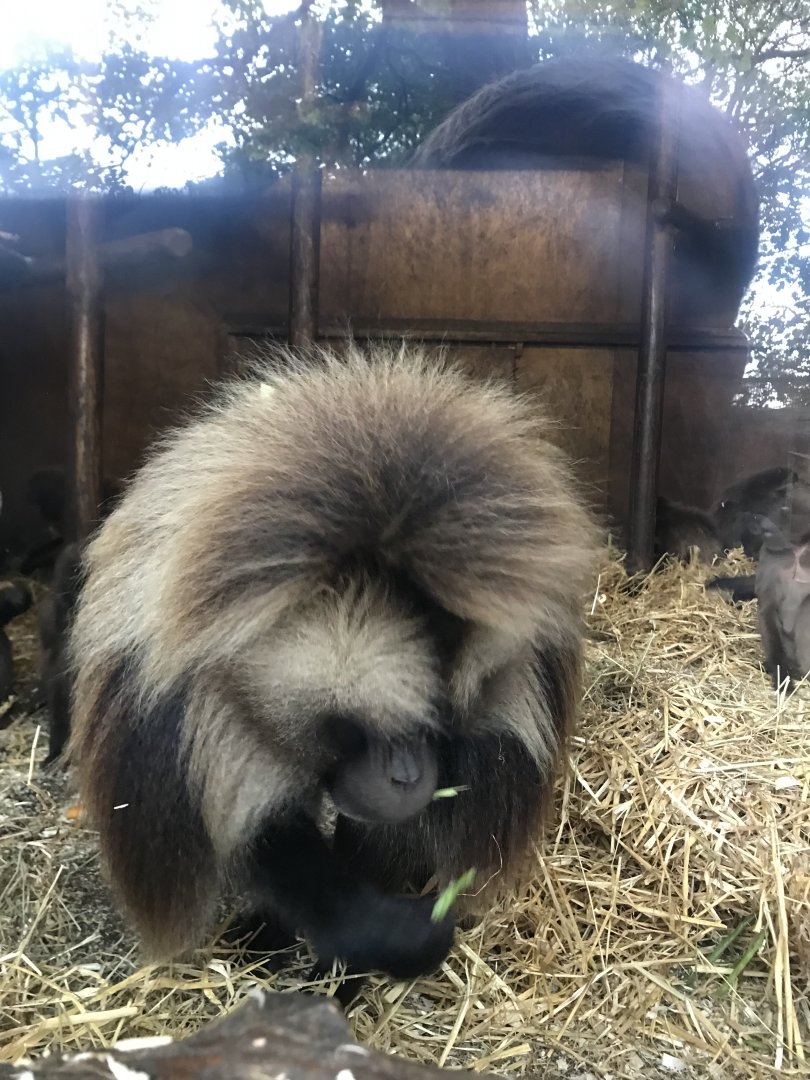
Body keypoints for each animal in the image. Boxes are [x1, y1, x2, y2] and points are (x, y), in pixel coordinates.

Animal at [67, 342, 600, 987]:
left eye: (443, 725)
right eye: (366, 722)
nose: (409, 777)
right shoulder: (205, 715)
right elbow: (268, 840)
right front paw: (388, 937)